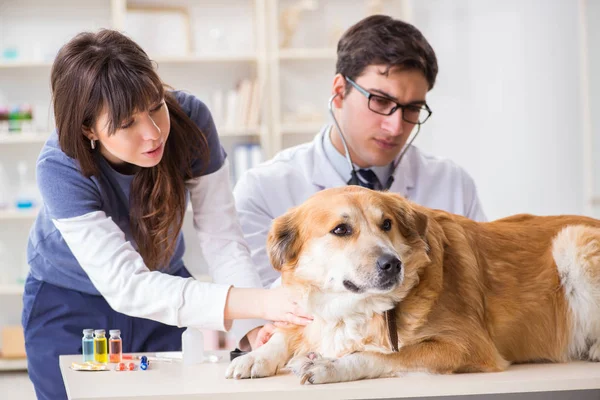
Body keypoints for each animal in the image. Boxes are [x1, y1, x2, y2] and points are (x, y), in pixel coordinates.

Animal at [225, 187, 600, 384]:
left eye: (386, 224)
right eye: (341, 230)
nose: (392, 264)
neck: (359, 310)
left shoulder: (466, 345)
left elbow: (384, 355)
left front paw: (330, 365)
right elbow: (286, 334)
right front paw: (255, 357)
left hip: (574, 240)